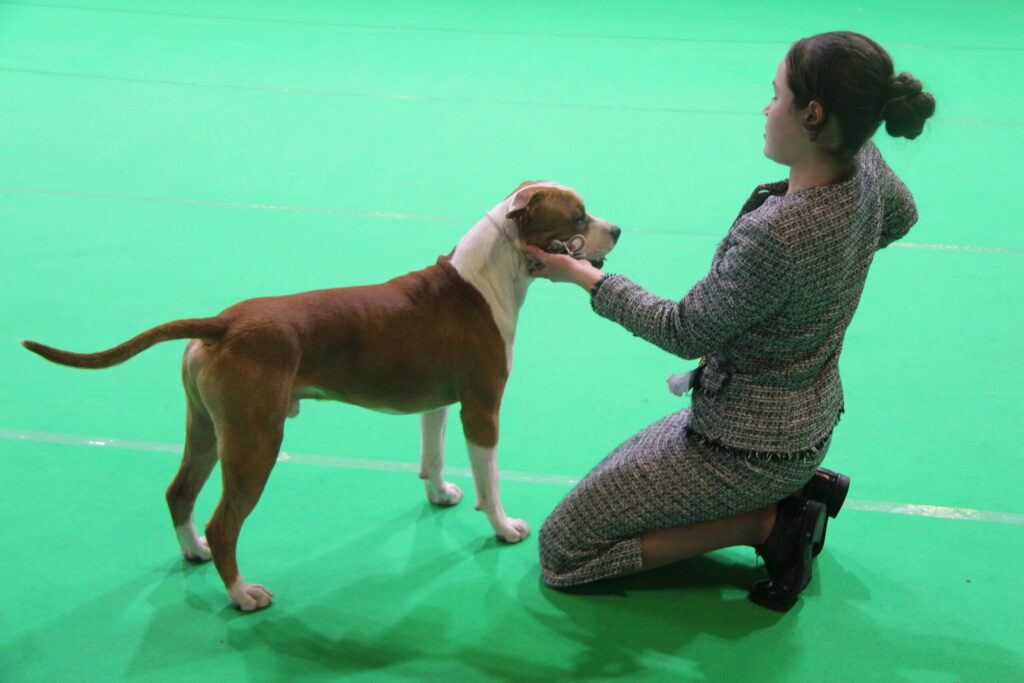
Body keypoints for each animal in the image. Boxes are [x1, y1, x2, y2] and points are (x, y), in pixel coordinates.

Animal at [22, 181, 620, 611]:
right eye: (578, 216)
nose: (616, 227)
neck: (488, 277)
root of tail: (222, 324)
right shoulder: (482, 408)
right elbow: (488, 479)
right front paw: (503, 527)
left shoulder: (436, 402)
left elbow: (431, 454)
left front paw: (439, 494)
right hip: (255, 441)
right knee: (224, 523)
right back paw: (242, 594)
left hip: (208, 428)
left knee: (179, 493)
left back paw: (192, 551)